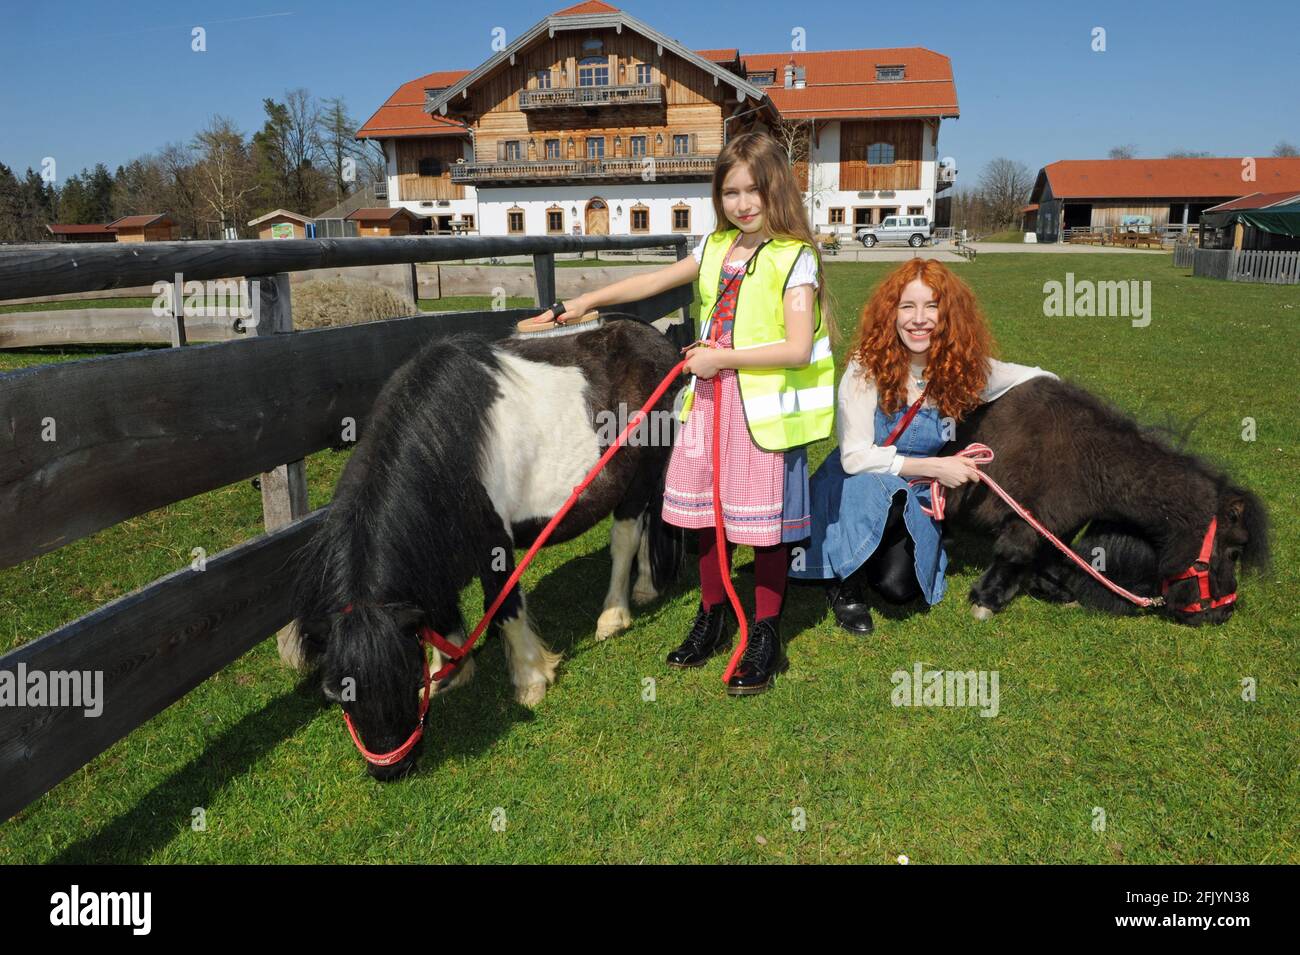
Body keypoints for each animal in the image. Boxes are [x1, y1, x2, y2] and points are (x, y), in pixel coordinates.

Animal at [288, 320, 686, 779]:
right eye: (338, 694)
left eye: (406, 678)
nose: (391, 770)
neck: (446, 444)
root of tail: (658, 340)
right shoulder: (435, 549)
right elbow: (440, 612)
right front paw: (449, 672)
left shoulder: (496, 542)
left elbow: (505, 604)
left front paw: (531, 679)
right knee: (647, 523)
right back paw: (646, 586)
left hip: (642, 470)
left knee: (626, 536)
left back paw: (614, 615)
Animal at [946, 376, 1268, 631]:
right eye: (1235, 552)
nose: (1223, 613)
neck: (1084, 458)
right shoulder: (1026, 517)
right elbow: (1013, 553)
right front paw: (986, 599)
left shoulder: (1057, 526)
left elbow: (1049, 559)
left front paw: (1060, 593)